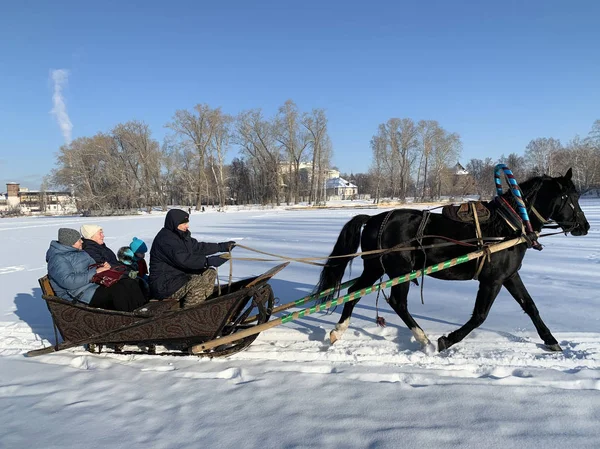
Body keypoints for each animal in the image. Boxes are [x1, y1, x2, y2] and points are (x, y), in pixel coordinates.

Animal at [316, 170, 588, 352]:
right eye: (569, 197)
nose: (584, 226)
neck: (509, 226)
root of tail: (373, 219)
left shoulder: (509, 275)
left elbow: (530, 306)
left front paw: (551, 341)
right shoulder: (491, 280)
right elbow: (479, 316)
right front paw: (447, 340)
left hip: (375, 267)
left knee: (354, 292)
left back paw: (338, 331)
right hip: (399, 271)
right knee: (397, 302)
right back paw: (423, 339)